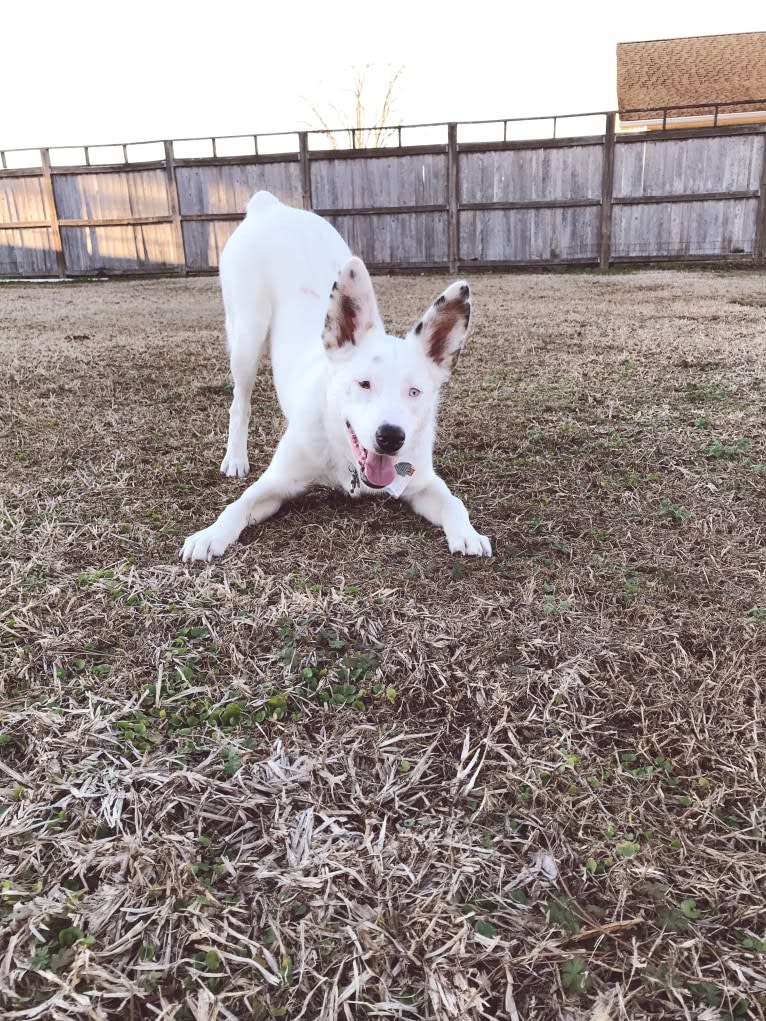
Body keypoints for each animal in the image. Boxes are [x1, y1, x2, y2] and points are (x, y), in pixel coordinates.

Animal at [181, 191, 492, 567]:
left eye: (415, 392)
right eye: (364, 383)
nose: (391, 437)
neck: (345, 459)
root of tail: (270, 207)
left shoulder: (421, 482)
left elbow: (454, 502)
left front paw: (468, 533)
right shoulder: (275, 482)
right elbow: (236, 506)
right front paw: (210, 535)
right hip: (246, 339)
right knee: (240, 404)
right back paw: (236, 458)